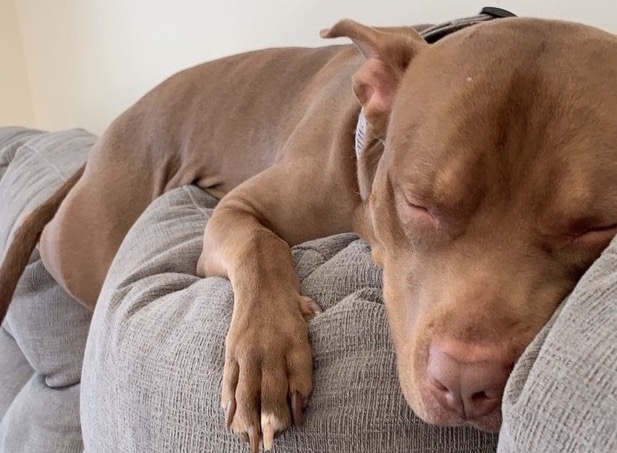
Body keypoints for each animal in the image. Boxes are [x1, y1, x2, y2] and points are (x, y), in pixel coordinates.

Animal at [1, 14, 616, 452]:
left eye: (598, 227)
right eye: (417, 201)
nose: (467, 382)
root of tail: (100, 147)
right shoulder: (235, 209)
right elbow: (261, 243)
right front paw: (266, 357)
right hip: (88, 236)